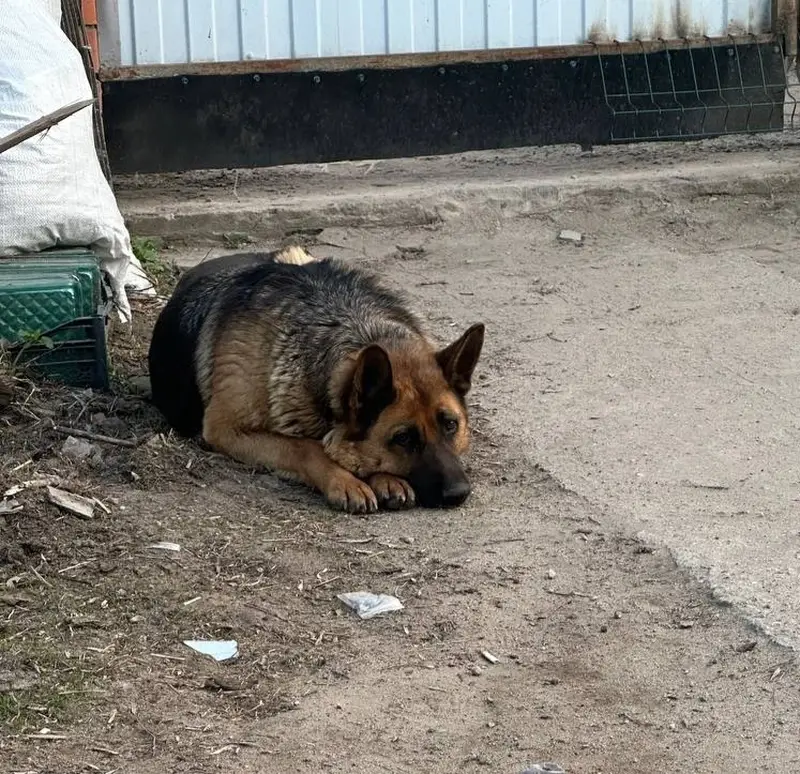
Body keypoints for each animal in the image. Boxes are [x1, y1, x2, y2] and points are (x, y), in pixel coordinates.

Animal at [147, 247, 484, 513]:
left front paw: (386, 478)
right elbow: (305, 448)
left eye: (451, 425)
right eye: (403, 438)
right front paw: (346, 480)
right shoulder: (227, 430)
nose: (459, 494)